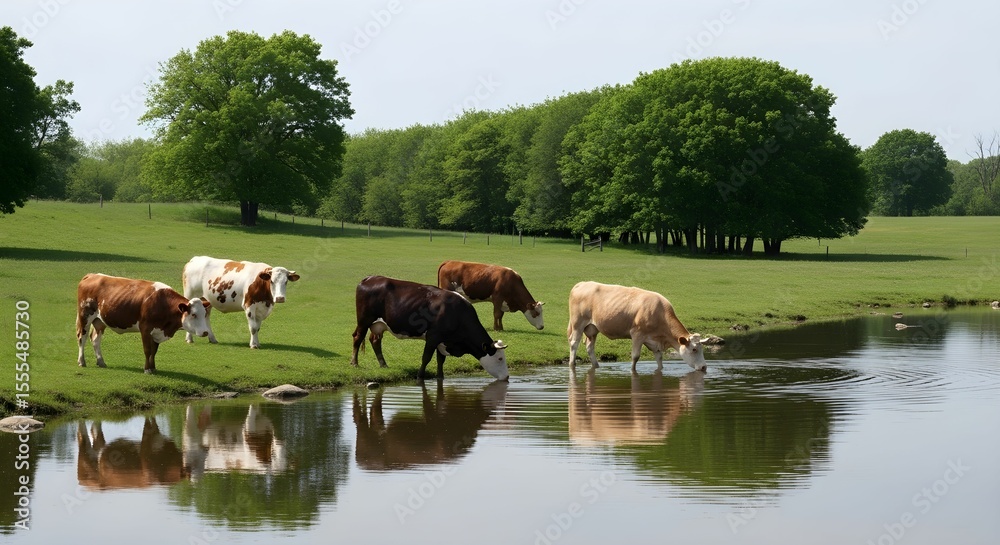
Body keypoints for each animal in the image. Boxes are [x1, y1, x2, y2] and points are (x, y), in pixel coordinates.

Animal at [76, 273, 212, 374]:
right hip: (85, 316)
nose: (205, 332)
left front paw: (153, 367)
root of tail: (91, 275)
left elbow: (154, 351)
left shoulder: (157, 331)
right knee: (82, 338)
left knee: (95, 339)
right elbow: (147, 350)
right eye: (193, 314)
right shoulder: (145, 329)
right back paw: (81, 361)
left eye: (204, 313)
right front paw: (147, 369)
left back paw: (101, 361)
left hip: (99, 320)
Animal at [349, 275, 510, 380]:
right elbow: (426, 358)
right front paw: (420, 377)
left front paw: (440, 377)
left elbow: (440, 360)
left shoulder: (442, 341)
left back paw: (383, 364)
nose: (507, 377)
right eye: (500, 358)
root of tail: (370, 278)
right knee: (358, 338)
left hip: (378, 325)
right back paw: (354, 363)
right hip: (364, 321)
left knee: (375, 340)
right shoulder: (433, 337)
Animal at [567, 281, 707, 372]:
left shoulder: (654, 342)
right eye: (694, 349)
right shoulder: (637, 334)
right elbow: (635, 357)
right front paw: (632, 371)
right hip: (578, 323)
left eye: (702, 349)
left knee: (590, 346)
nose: (704, 367)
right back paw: (572, 364)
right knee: (574, 343)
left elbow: (659, 359)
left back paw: (596, 366)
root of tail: (582, 284)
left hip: (592, 328)